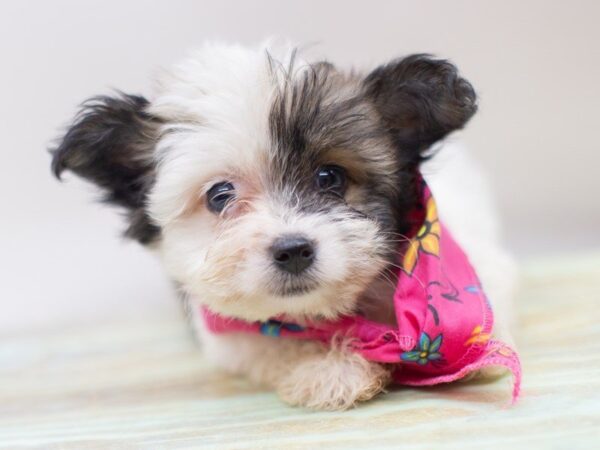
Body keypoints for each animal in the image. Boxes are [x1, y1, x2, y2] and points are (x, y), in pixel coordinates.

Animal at [51, 42, 516, 412]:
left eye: (330, 177)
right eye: (219, 195)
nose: (293, 250)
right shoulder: (225, 333)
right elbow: (272, 341)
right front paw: (331, 370)